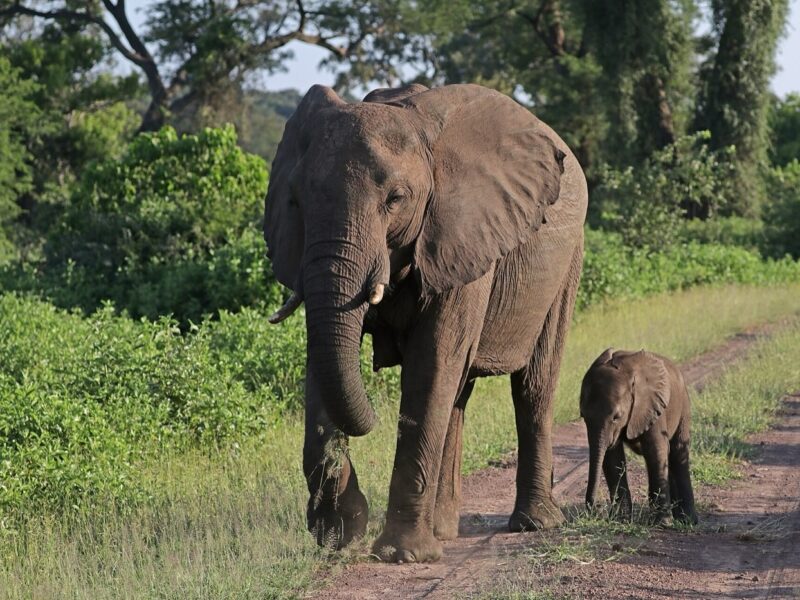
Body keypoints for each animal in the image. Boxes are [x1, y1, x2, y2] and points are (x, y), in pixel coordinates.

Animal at [263, 82, 588, 563]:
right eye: (296, 201)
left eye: (395, 199)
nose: (374, 417)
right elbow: (322, 359)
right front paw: (340, 531)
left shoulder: (461, 235)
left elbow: (430, 365)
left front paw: (401, 555)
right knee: (458, 394)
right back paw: (444, 531)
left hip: (568, 259)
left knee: (532, 385)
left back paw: (533, 524)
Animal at [580, 348, 698, 526]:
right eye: (583, 416)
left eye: (616, 417)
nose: (594, 509)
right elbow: (613, 458)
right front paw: (620, 520)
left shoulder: (652, 406)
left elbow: (655, 451)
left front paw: (662, 523)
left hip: (684, 405)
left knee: (678, 453)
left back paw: (688, 520)